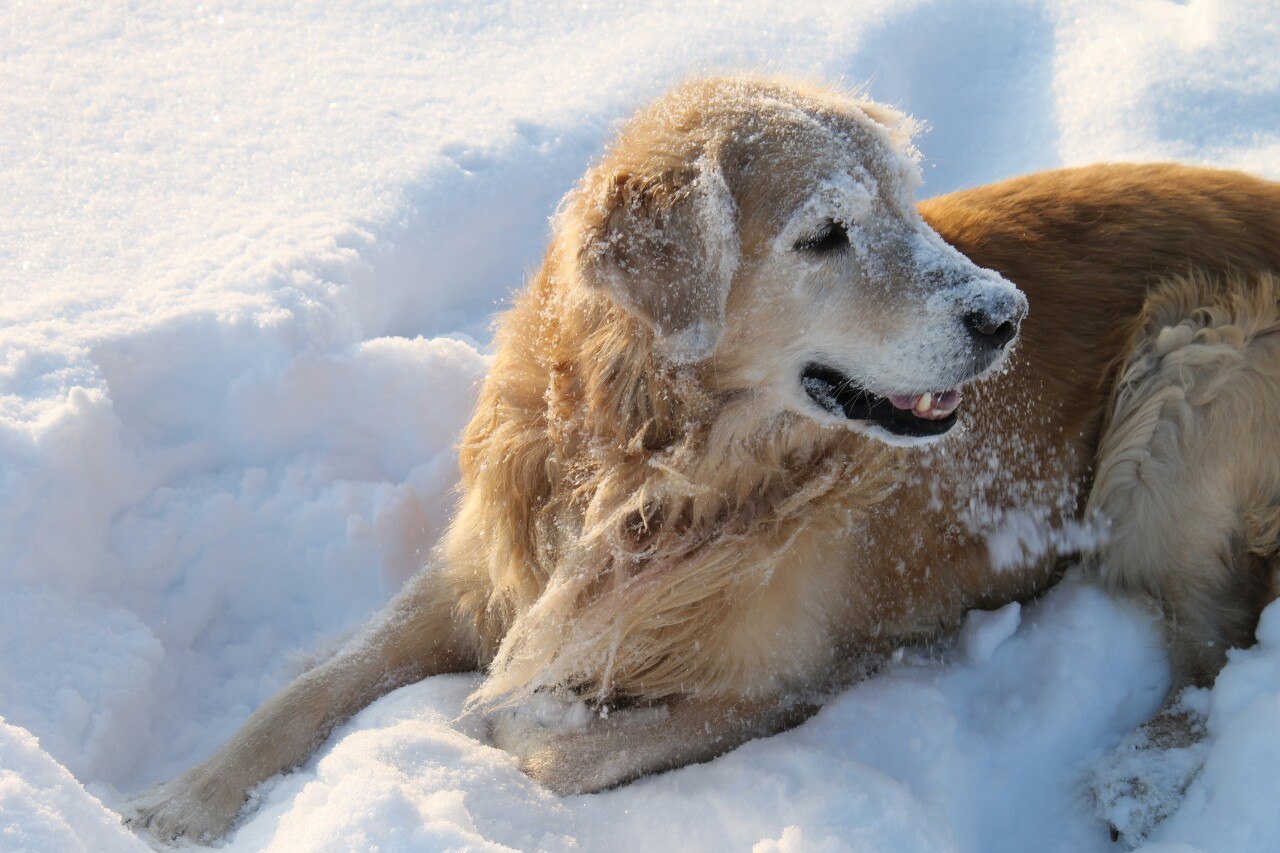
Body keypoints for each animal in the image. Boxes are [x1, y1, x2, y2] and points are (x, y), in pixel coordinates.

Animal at [124, 74, 1274, 845]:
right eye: (825, 232)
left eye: (906, 205)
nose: (1005, 314)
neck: (641, 464)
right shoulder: (482, 574)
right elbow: (313, 682)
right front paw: (178, 800)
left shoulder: (770, 685)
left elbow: (535, 745)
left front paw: (502, 721)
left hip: (1189, 376)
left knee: (1217, 642)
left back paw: (1141, 776)